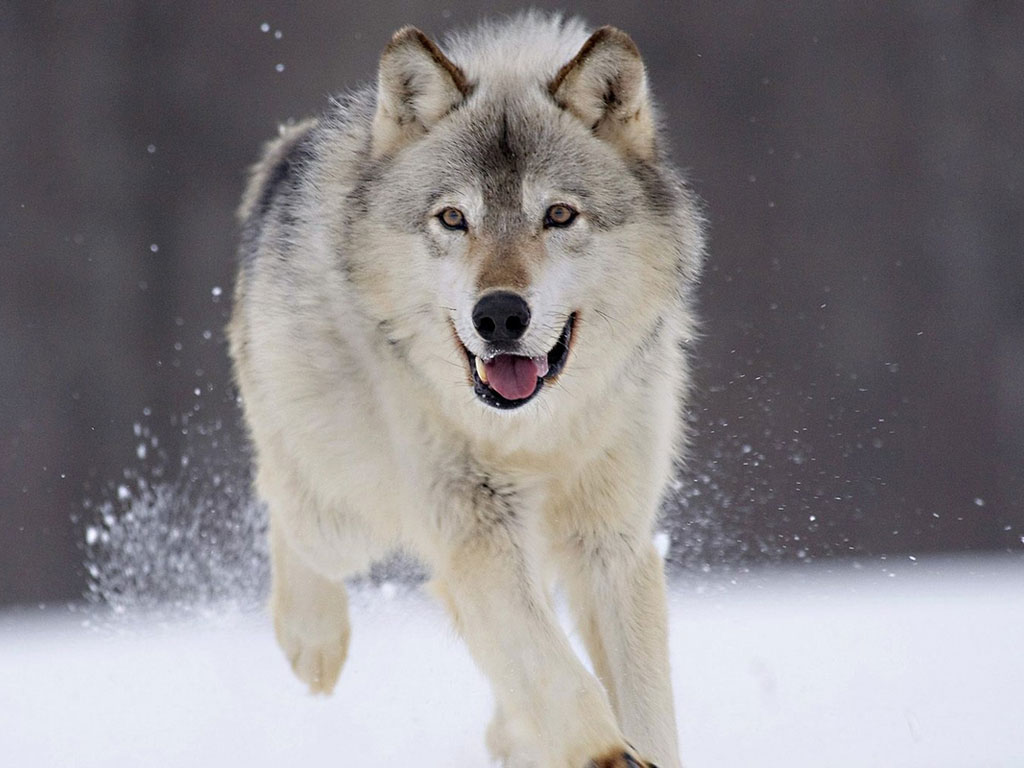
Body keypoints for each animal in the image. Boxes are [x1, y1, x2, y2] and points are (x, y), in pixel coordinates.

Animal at [228, 12, 704, 768]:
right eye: (453, 219)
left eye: (559, 215)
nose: (500, 315)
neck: (534, 433)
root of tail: (287, 151)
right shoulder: (475, 527)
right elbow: (557, 674)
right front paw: (604, 751)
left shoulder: (611, 539)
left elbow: (640, 697)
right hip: (345, 513)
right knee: (284, 505)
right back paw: (313, 643)